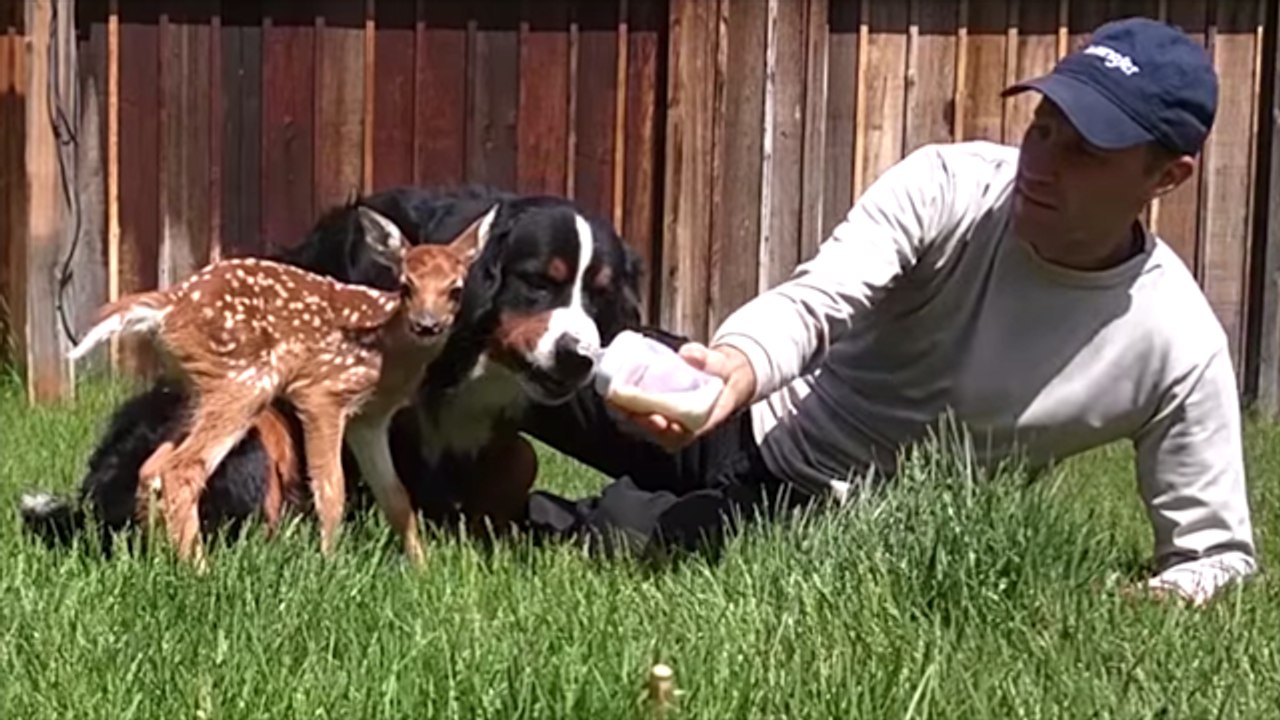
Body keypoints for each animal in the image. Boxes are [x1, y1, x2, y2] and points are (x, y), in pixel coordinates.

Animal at [67, 205, 493, 568]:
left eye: (455, 289)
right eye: (406, 286)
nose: (427, 324)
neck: (385, 349)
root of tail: (167, 307)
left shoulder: (369, 419)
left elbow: (397, 497)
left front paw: (422, 568)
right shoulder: (321, 394)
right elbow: (331, 489)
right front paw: (330, 566)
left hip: (198, 389)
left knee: (152, 466)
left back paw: (159, 558)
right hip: (243, 382)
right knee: (182, 469)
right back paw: (199, 569)